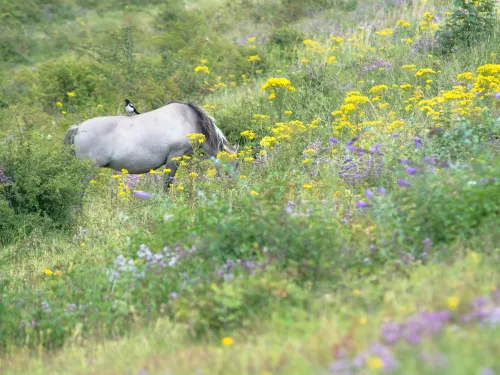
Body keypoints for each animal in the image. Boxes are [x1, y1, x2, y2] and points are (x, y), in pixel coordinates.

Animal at [64, 101, 236, 188]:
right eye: (236, 164)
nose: (234, 187)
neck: (189, 119)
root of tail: (78, 128)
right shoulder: (174, 157)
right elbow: (167, 184)